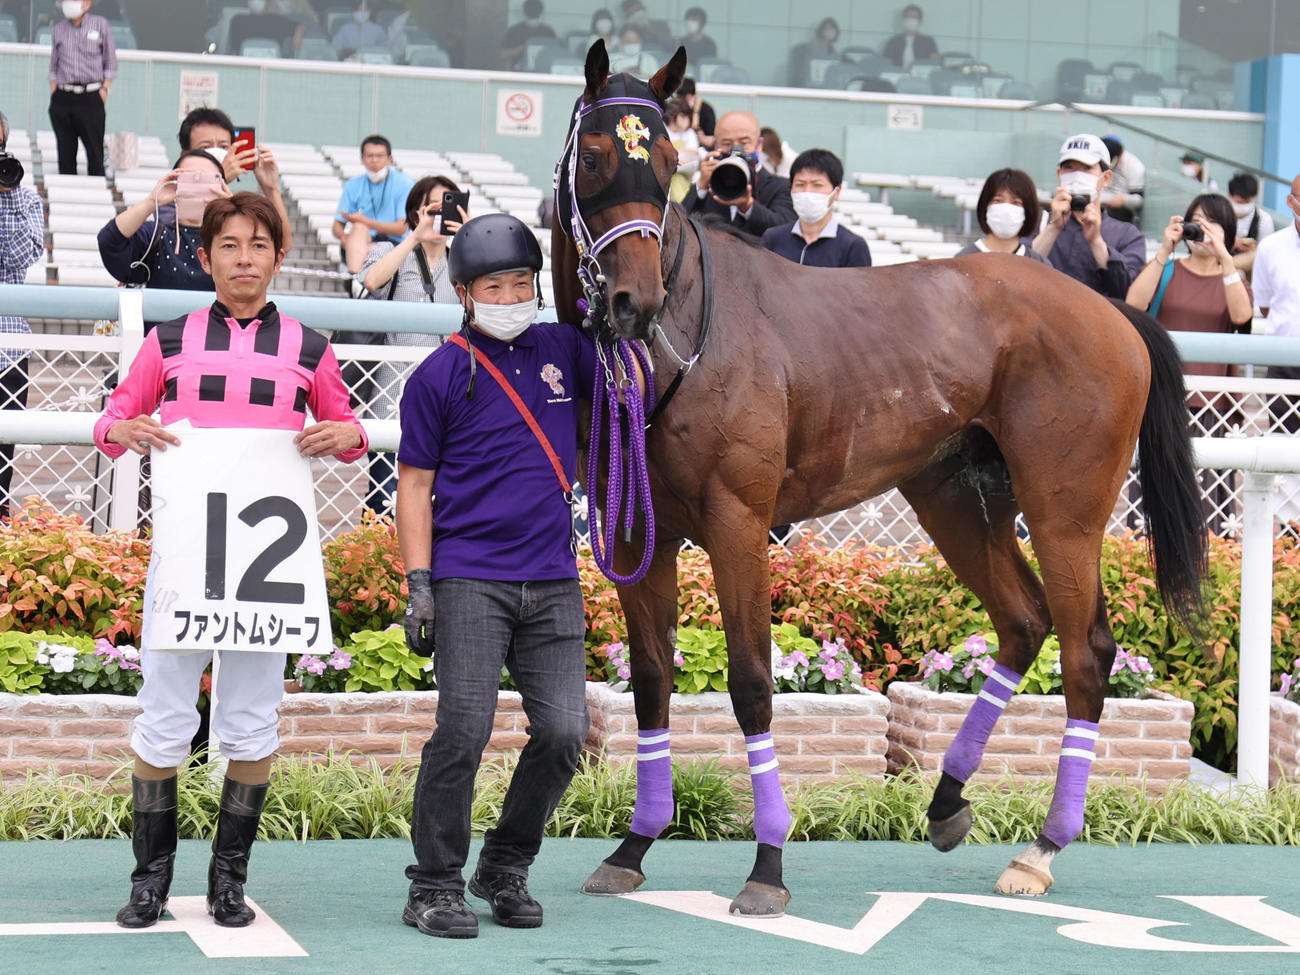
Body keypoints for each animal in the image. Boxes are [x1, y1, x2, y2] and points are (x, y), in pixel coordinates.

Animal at [552, 41, 1206, 916]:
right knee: (1023, 621)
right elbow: (653, 677)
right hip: (956, 499)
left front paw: (767, 864)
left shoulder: (735, 519)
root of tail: (1116, 312)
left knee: (1085, 650)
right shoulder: (635, 530)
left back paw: (1041, 848)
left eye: (662, 162)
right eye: (593, 157)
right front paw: (633, 844)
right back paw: (948, 797)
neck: (685, 334)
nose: (635, 298)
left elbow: (751, 680)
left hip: (1065, 510)